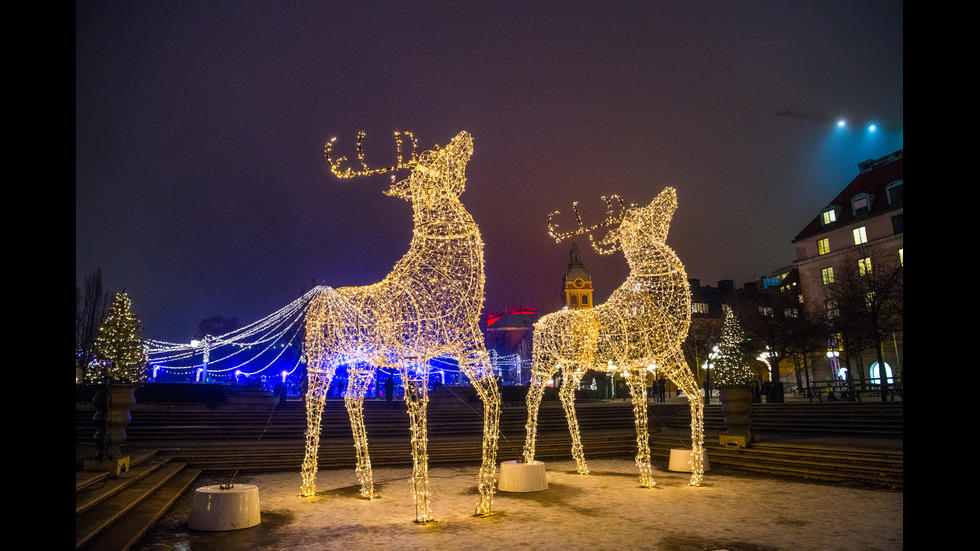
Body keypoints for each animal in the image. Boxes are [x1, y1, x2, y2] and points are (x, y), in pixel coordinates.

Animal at [300, 132, 502, 524]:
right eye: (433, 157)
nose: (464, 136)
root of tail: (314, 303)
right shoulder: (414, 354)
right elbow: (418, 416)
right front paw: (424, 512)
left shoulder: (468, 340)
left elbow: (493, 398)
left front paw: (485, 500)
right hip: (321, 359)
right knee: (314, 402)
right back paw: (307, 487)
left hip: (362, 363)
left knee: (351, 399)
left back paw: (367, 488)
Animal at [524, 189, 700, 488]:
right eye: (640, 215)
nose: (669, 194)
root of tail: (539, 324)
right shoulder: (636, 363)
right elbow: (641, 410)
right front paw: (647, 476)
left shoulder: (670, 355)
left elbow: (696, 396)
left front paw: (697, 472)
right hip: (545, 361)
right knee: (534, 396)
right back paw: (526, 460)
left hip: (573, 365)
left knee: (564, 394)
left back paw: (581, 464)